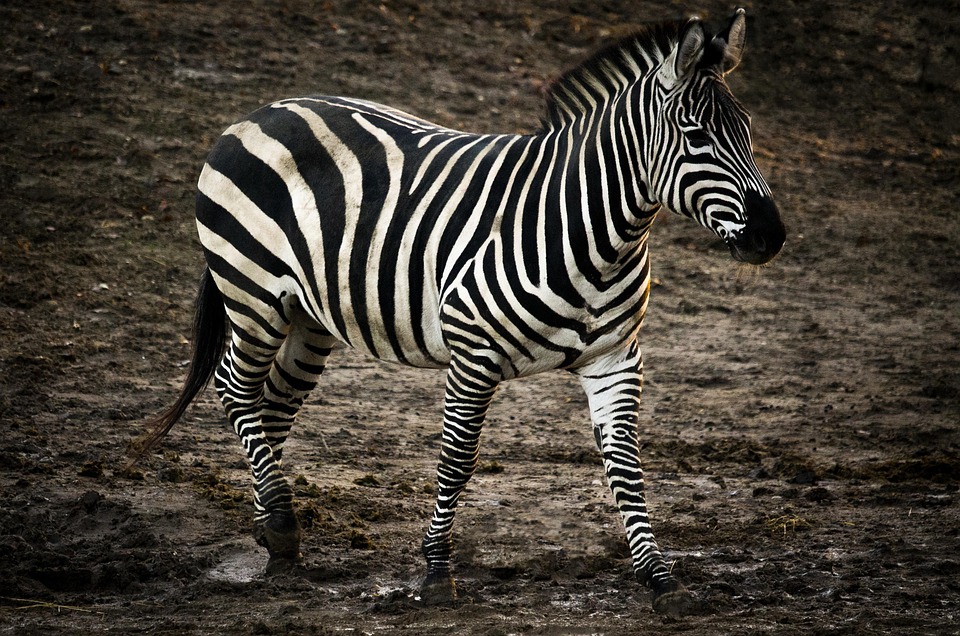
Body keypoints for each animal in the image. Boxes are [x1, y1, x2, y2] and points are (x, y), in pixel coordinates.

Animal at [135, 9, 784, 616]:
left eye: (749, 130)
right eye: (695, 135)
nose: (771, 237)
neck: (596, 233)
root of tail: (265, 109)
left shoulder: (615, 358)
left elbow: (625, 464)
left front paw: (660, 578)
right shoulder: (473, 352)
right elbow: (457, 460)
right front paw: (436, 572)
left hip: (308, 317)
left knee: (271, 406)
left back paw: (273, 528)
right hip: (253, 294)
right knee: (234, 389)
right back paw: (281, 525)